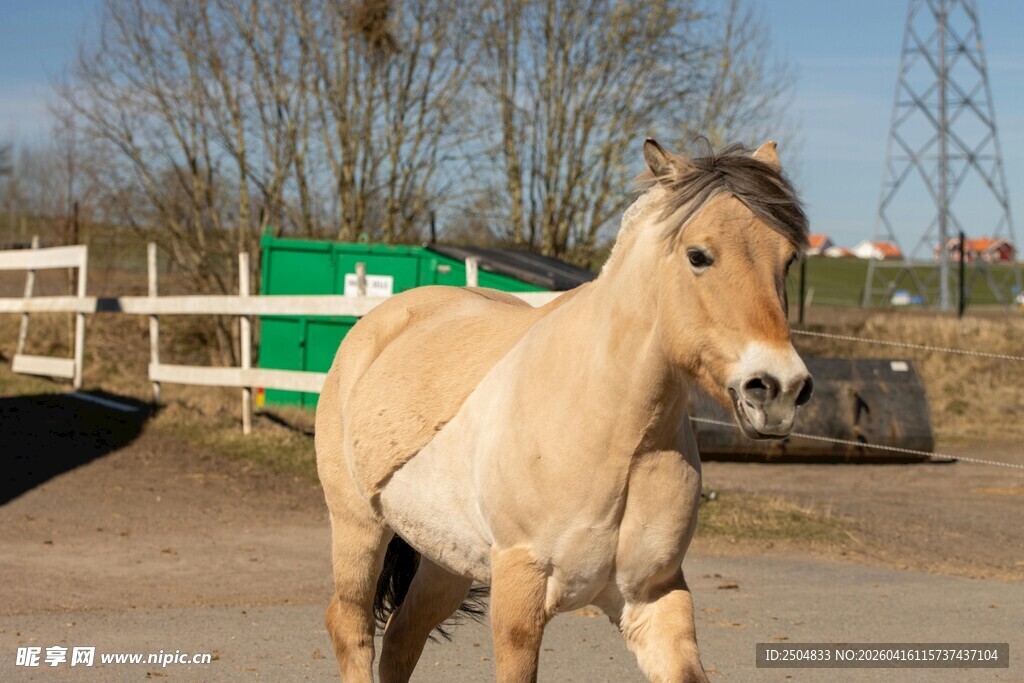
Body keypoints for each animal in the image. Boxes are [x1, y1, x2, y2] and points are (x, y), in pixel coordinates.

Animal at [314, 138, 813, 682]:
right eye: (699, 255)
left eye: (788, 259)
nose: (779, 388)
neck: (614, 433)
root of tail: (381, 319)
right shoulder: (520, 591)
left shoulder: (653, 599)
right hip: (359, 526)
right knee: (352, 627)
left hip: (446, 559)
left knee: (403, 637)